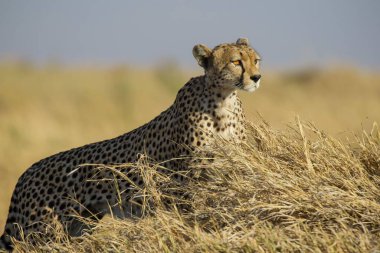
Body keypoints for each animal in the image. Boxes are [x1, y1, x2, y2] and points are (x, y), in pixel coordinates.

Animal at [0, 38, 260, 251]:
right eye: (236, 62)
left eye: (256, 60)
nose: (257, 77)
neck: (223, 100)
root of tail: (26, 173)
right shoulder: (186, 186)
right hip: (42, 233)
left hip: (78, 227)